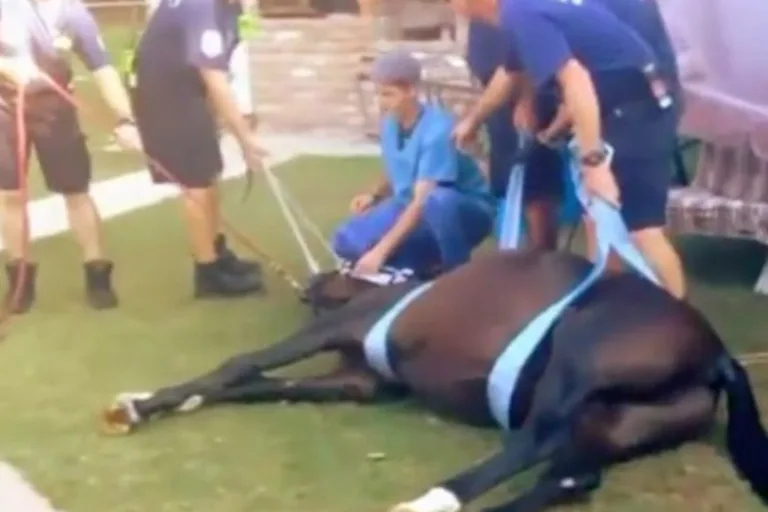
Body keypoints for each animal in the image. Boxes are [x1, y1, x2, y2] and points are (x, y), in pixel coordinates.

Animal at [101, 249, 768, 512]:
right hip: (615, 423)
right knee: (571, 475)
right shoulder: (360, 384)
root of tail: (718, 355)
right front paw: (174, 402)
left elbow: (244, 364)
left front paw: (144, 403)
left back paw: (433, 498)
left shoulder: (339, 328)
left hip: (579, 353)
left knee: (534, 438)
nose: (310, 283)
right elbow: (273, 385)